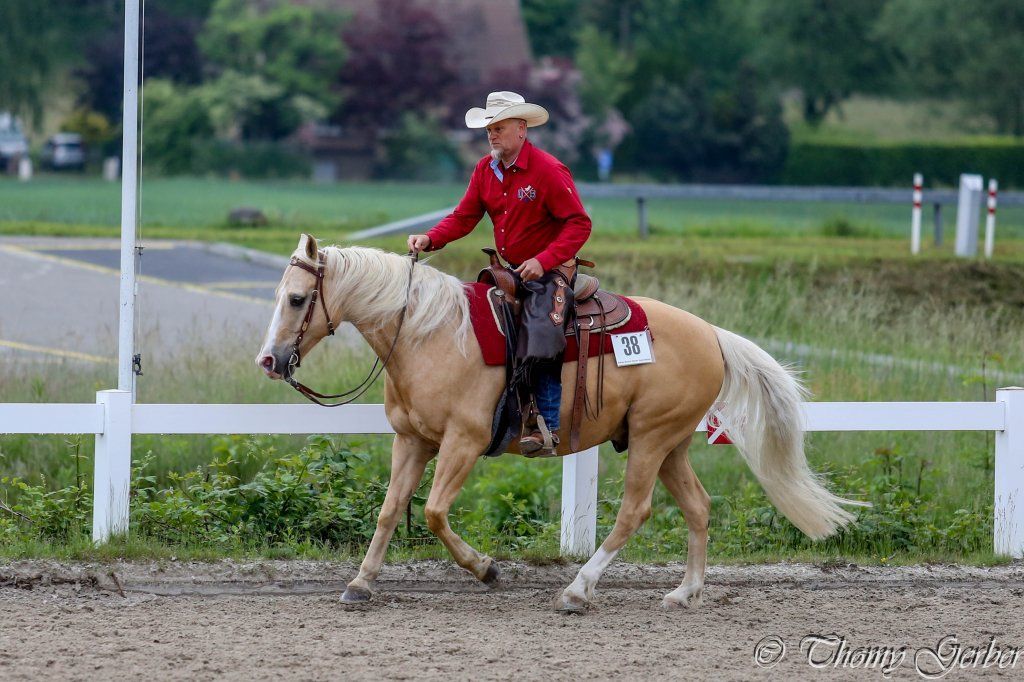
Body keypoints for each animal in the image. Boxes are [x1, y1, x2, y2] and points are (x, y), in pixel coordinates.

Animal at [256, 234, 865, 611]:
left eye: (297, 298)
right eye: (279, 295)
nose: (269, 361)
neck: (427, 334)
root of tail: (713, 334)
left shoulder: (463, 443)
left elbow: (432, 513)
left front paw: (486, 569)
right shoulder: (413, 441)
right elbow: (388, 512)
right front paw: (361, 582)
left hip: (651, 440)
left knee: (635, 511)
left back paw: (578, 590)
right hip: (669, 443)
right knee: (698, 506)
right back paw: (683, 594)